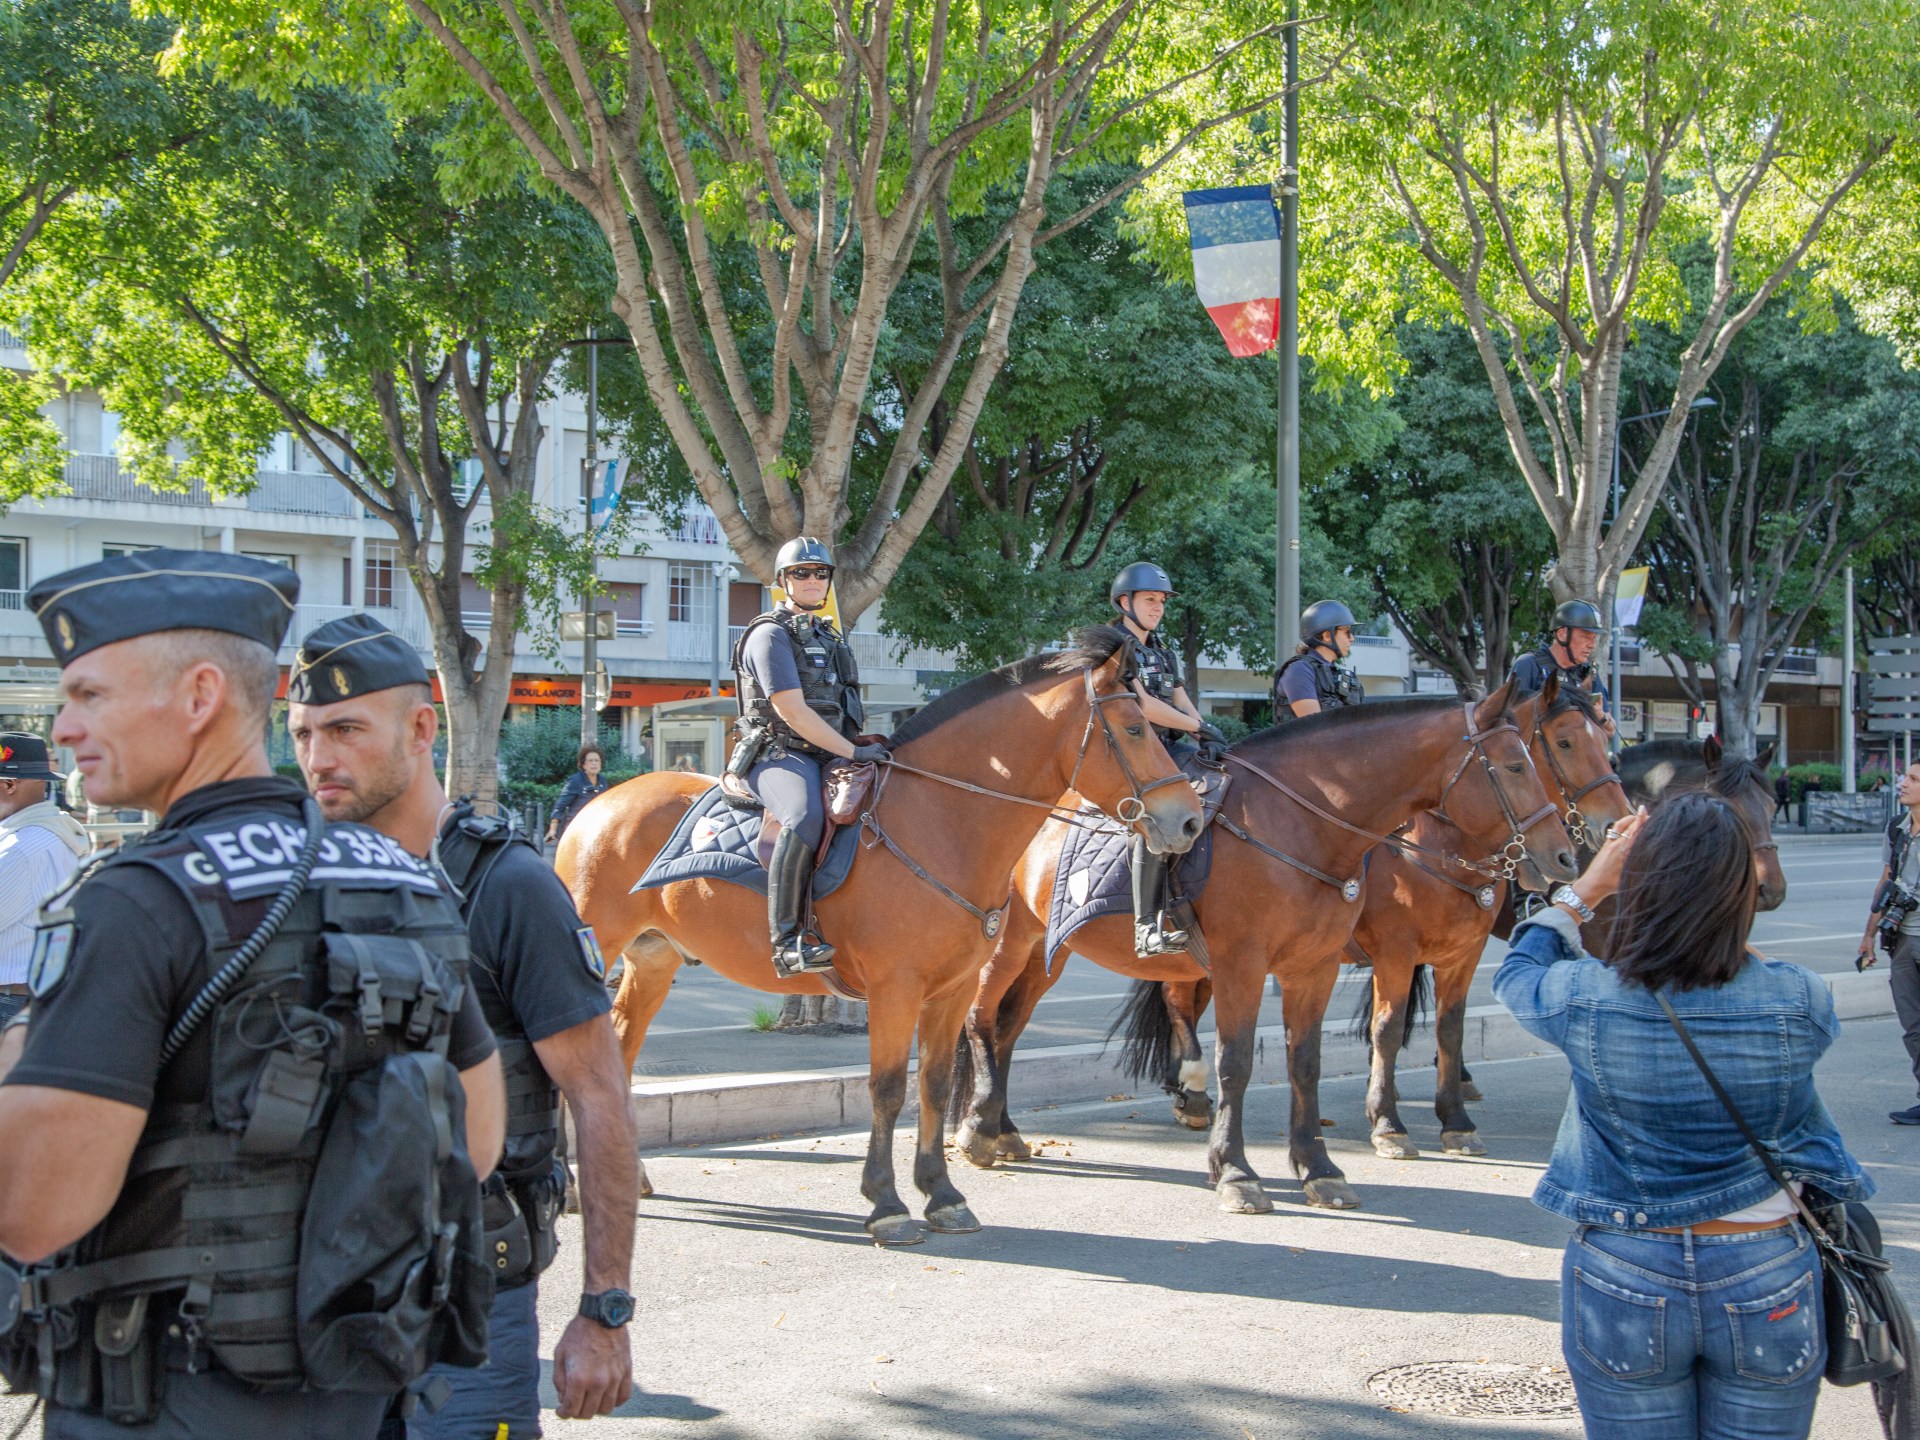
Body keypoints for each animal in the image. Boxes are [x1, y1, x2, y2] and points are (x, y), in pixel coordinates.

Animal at [549, 629, 1198, 1251]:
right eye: (1136, 727)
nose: (1188, 819)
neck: (942, 819)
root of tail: (599, 801)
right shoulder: (895, 990)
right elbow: (887, 1089)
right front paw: (887, 1204)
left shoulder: (951, 991)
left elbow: (934, 1083)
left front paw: (942, 1194)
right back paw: (575, 1185)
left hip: (653, 960)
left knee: (619, 1050)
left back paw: (620, 1176)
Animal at [956, 683, 1574, 1213]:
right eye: (1517, 765)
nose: (1565, 856)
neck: (1303, 827)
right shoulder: (1252, 965)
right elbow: (1239, 1063)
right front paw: (1237, 1172)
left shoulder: (1319, 968)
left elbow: (1311, 1061)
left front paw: (1320, 1169)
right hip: (1008, 944)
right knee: (981, 1019)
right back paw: (979, 1130)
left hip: (1047, 950)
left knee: (1008, 1029)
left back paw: (1003, 1129)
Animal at [1351, 683, 1635, 1167]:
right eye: (1565, 742)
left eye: (1605, 739)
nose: (1618, 822)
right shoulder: (1395, 953)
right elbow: (1387, 1029)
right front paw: (1388, 1125)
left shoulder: (1463, 954)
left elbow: (1450, 1029)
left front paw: (1456, 1123)